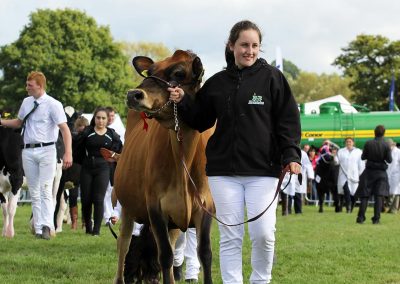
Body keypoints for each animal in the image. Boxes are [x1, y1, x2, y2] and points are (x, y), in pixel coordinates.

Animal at [114, 50, 214, 282]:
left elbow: (205, 254)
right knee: (123, 244)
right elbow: (165, 256)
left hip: (174, 222)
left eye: (179, 73)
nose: (134, 94)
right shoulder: (156, 208)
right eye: (149, 71)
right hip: (127, 208)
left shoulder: (206, 207)